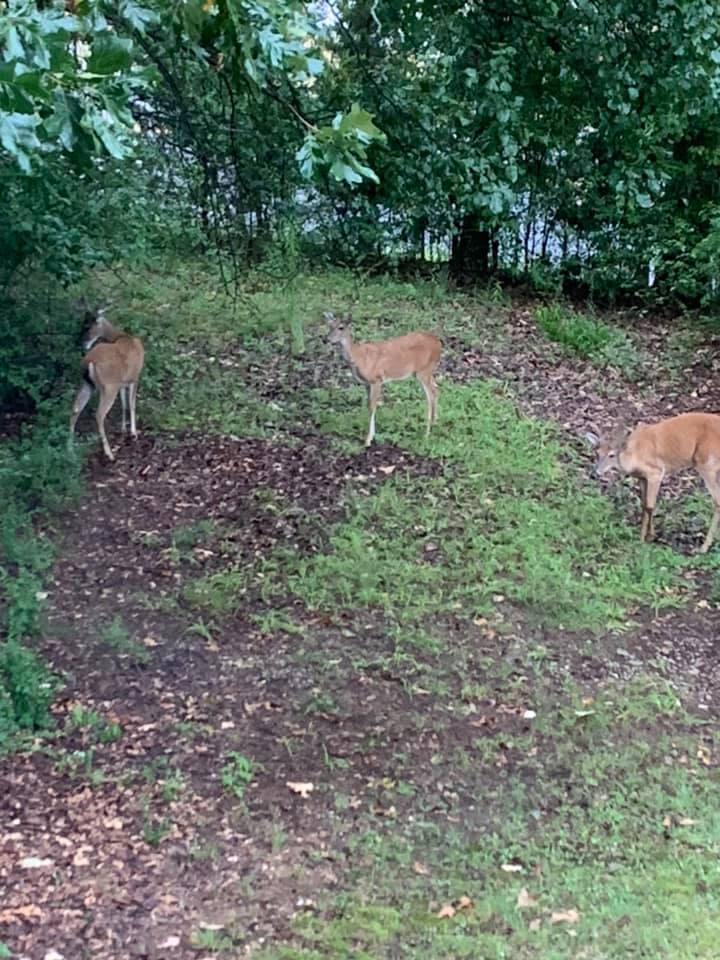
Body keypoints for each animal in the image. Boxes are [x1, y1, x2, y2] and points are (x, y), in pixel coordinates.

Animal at [69, 301, 145, 461]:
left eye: (87, 325)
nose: (82, 343)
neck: (120, 335)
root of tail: (89, 362)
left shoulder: (122, 382)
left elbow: (124, 405)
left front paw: (123, 429)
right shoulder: (135, 377)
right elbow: (132, 405)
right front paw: (133, 433)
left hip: (88, 384)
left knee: (75, 409)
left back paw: (70, 450)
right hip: (108, 387)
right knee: (99, 414)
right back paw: (109, 453)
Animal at [324, 312, 442, 447]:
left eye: (341, 327)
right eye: (329, 326)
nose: (326, 339)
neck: (359, 357)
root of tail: (439, 343)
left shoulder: (376, 379)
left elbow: (372, 406)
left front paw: (368, 440)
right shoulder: (366, 384)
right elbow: (368, 405)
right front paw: (371, 435)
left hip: (423, 371)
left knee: (431, 395)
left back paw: (427, 433)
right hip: (427, 371)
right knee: (436, 389)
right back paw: (435, 422)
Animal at [586, 412, 720, 553]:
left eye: (611, 455)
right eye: (597, 453)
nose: (595, 473)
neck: (634, 456)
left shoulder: (656, 472)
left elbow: (650, 506)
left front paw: (649, 537)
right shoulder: (642, 477)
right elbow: (644, 505)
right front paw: (642, 536)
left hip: (706, 462)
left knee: (717, 501)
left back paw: (704, 547)